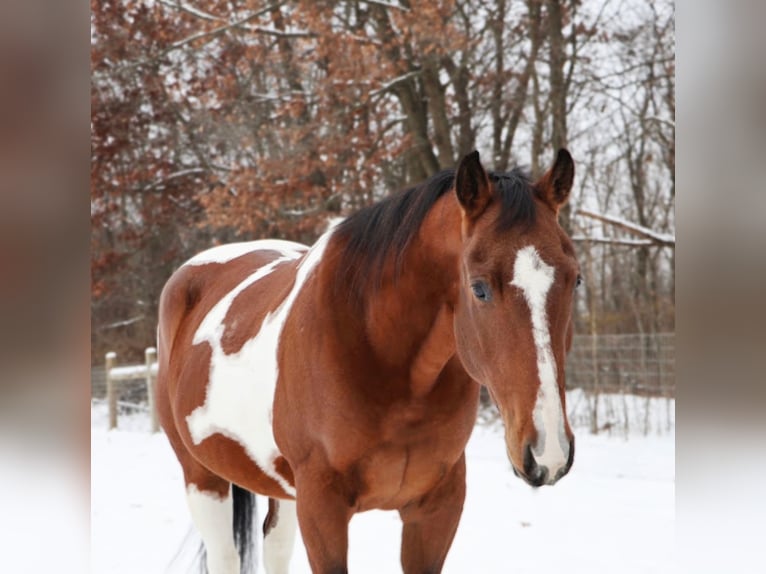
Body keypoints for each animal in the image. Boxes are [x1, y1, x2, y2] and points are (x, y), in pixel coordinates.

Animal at [156, 149, 579, 574]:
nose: (548, 450)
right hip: (202, 478)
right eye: (479, 288)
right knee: (224, 553)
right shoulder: (321, 508)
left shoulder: (436, 509)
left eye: (575, 279)